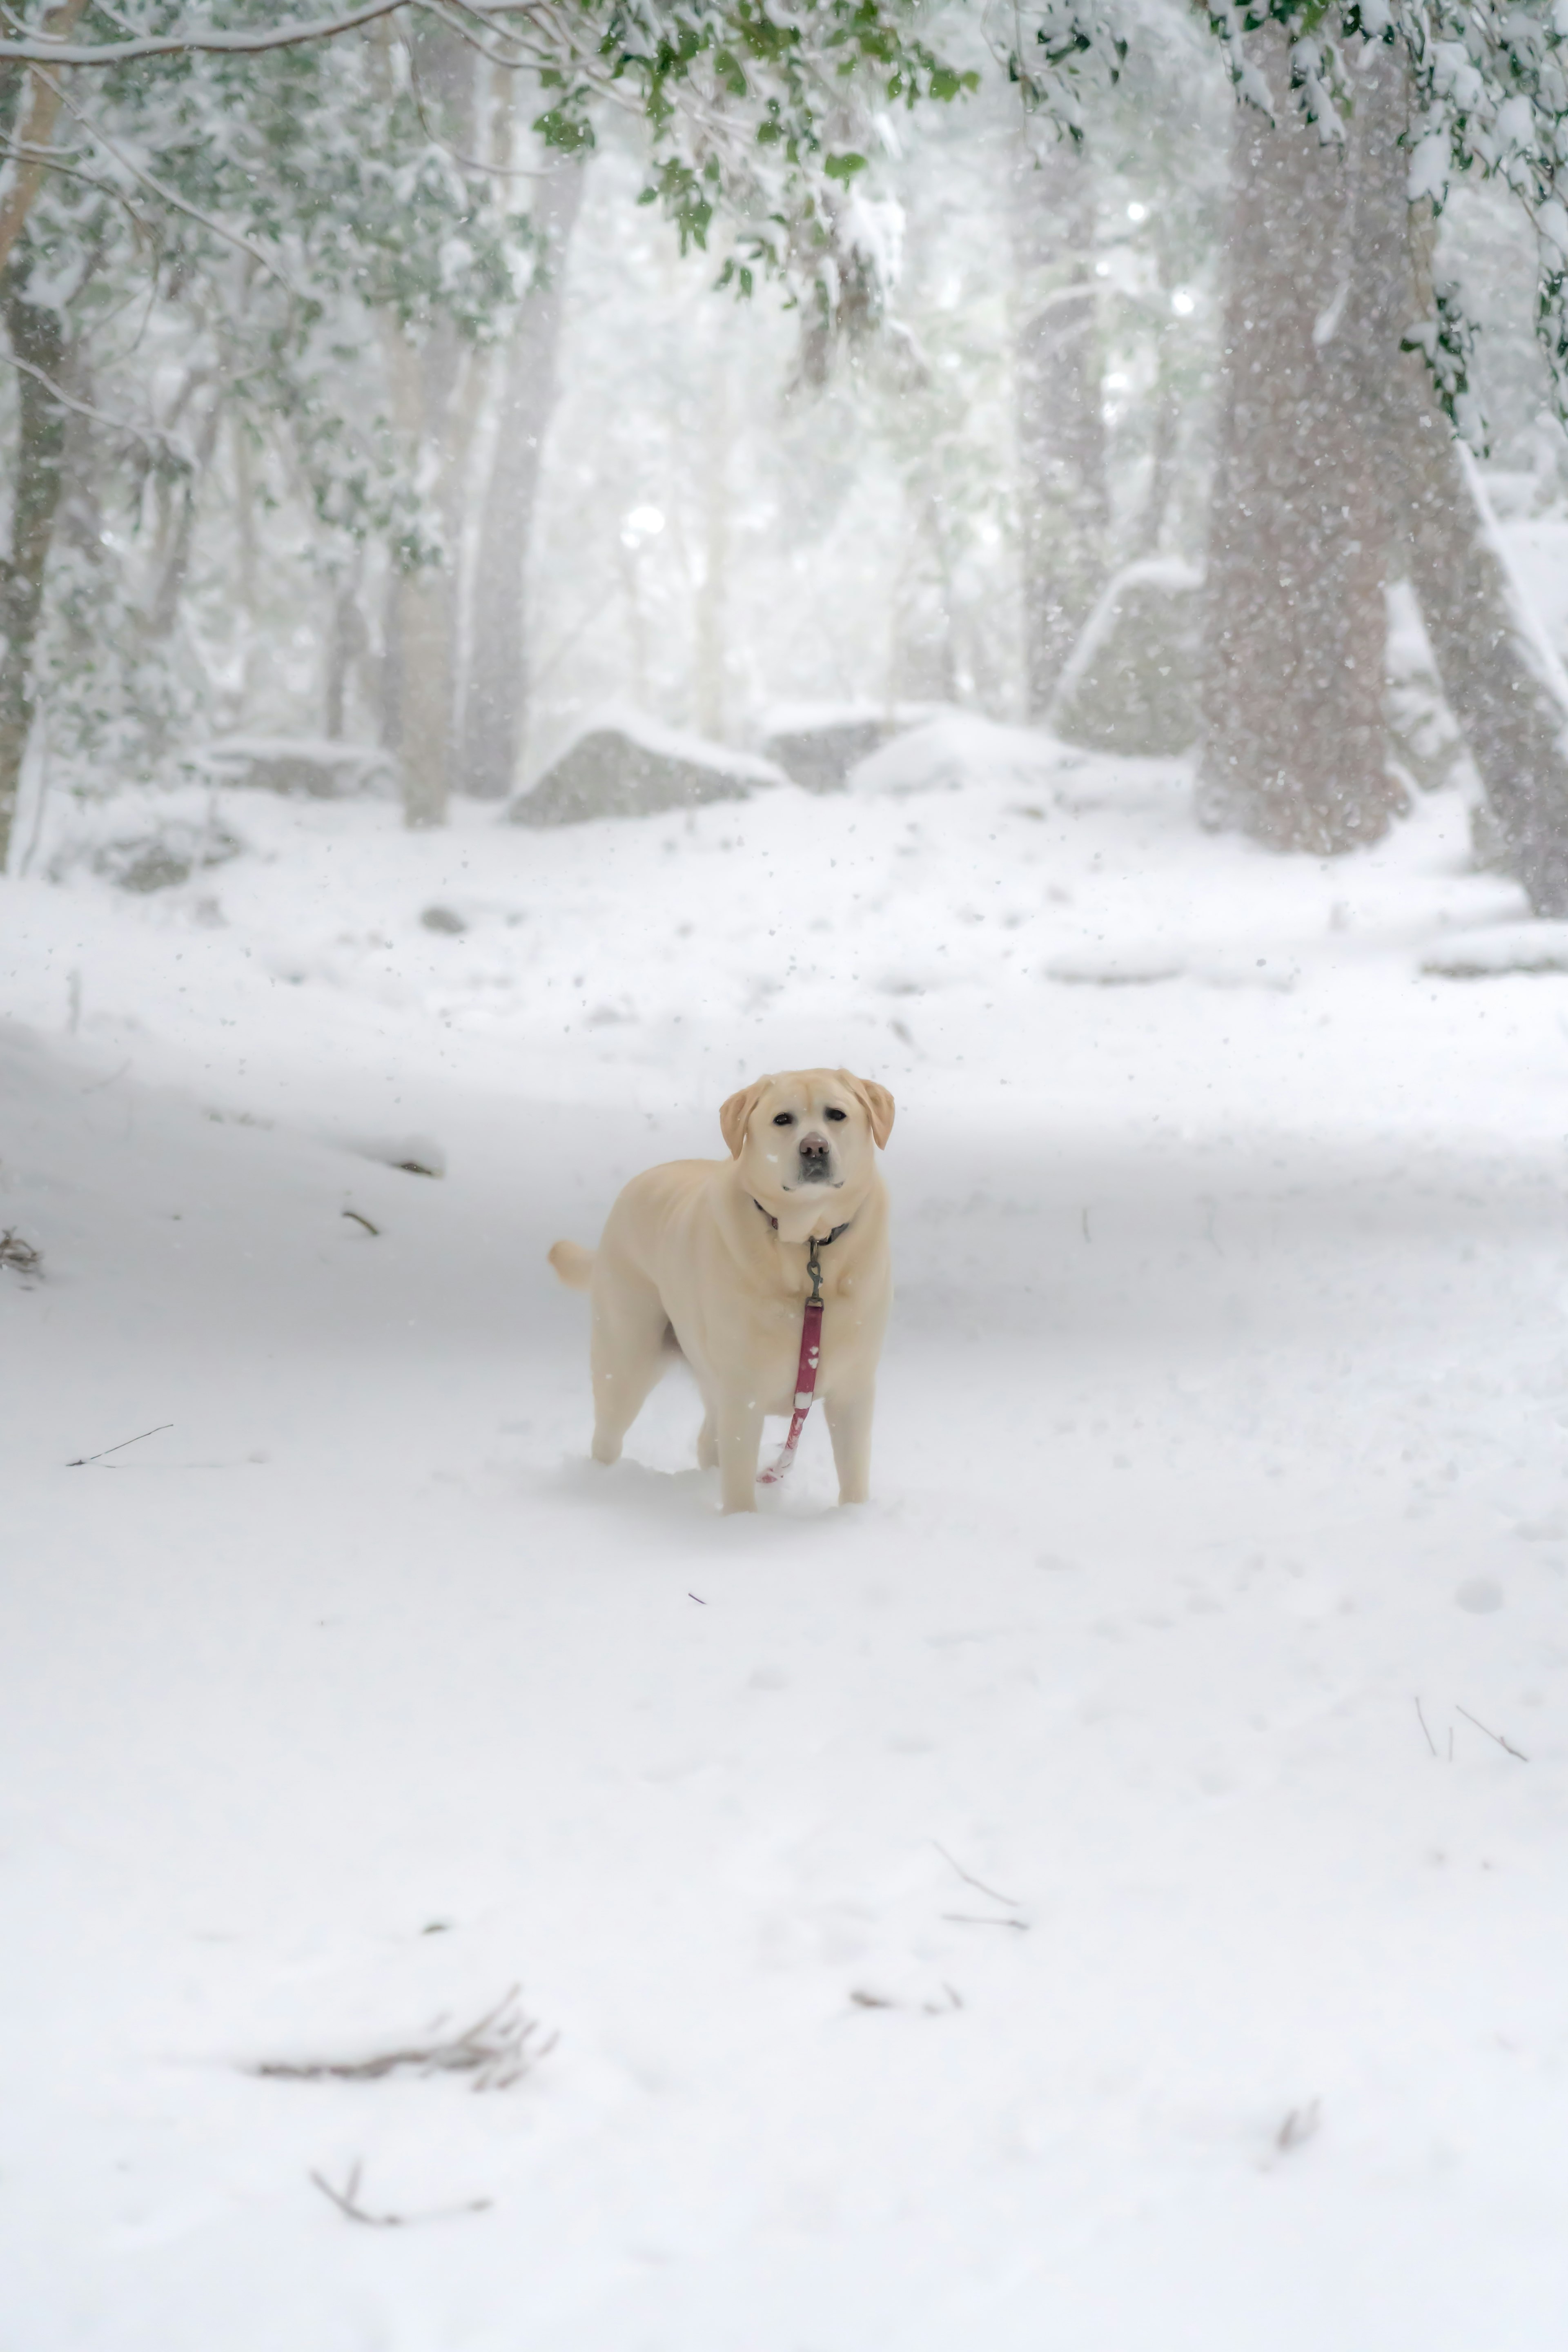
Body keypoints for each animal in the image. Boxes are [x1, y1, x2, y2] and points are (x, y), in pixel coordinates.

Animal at [550, 1068, 893, 1505]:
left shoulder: (854, 1390)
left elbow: (853, 1473)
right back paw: (601, 1482)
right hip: (627, 1358)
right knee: (608, 1434)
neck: (808, 1244)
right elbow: (739, 1480)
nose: (814, 1148)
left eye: (837, 1114)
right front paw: (740, 1519)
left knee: (704, 1440)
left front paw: (853, 1517)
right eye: (783, 1119)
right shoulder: (741, 1393)